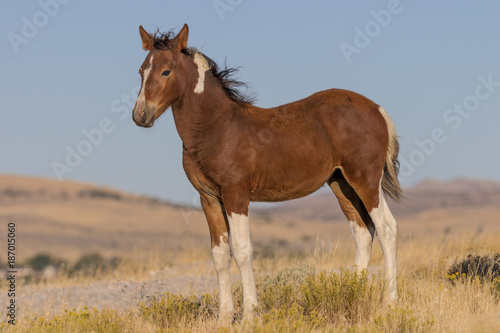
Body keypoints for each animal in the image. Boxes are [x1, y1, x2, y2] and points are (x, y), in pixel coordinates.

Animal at [132, 23, 402, 320]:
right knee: (363, 232)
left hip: (365, 179)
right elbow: (219, 254)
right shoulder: (209, 198)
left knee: (386, 228)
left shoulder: (236, 194)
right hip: (341, 184)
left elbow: (241, 250)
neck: (217, 128)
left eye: (166, 71)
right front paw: (224, 317)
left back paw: (390, 302)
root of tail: (377, 109)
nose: (140, 116)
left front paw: (249, 314)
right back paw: (352, 292)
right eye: (141, 71)